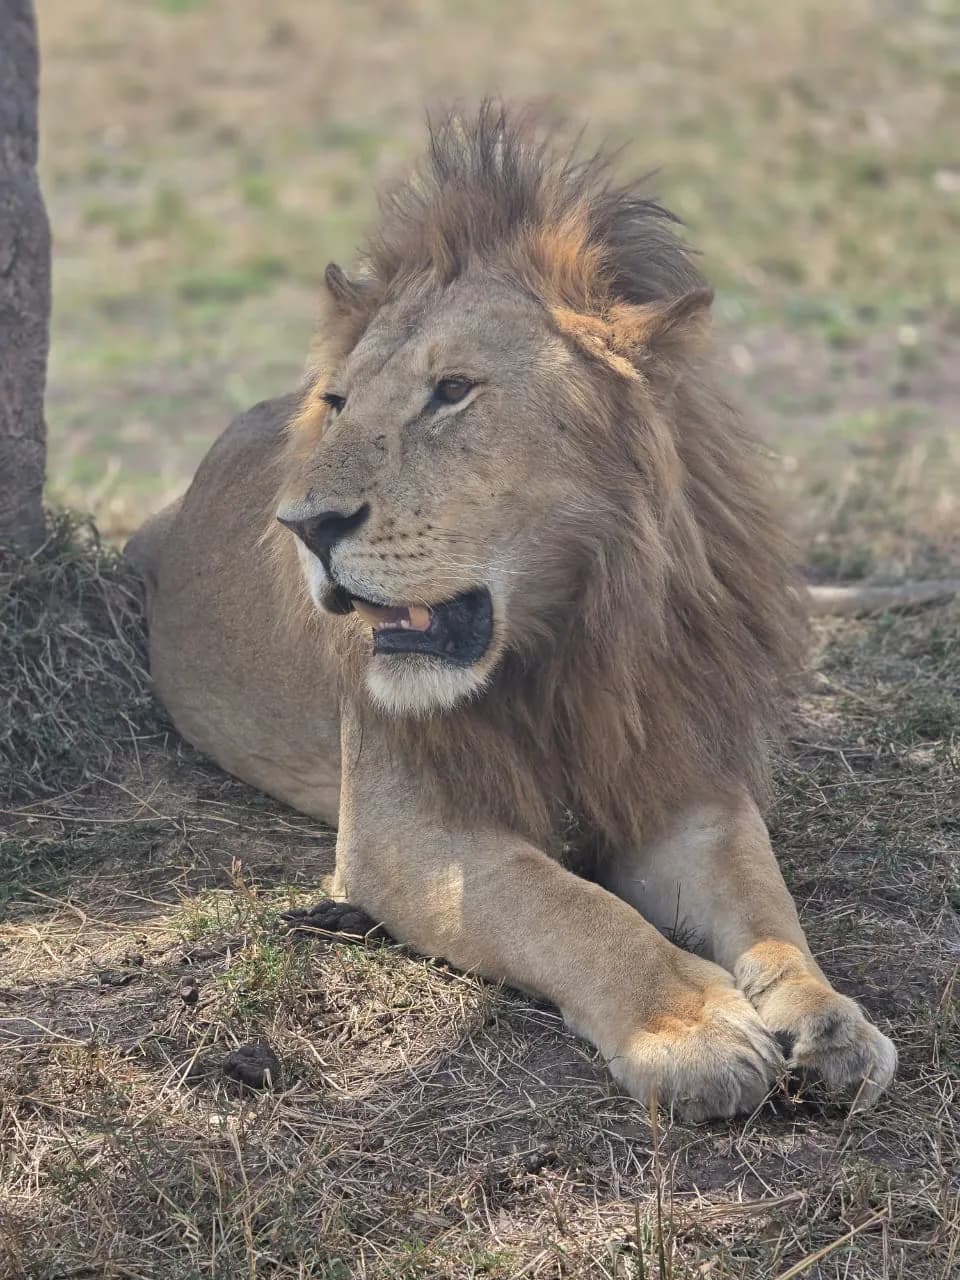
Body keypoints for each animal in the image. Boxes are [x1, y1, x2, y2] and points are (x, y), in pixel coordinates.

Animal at [127, 104, 897, 1121]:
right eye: (336, 403)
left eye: (452, 391)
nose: (303, 525)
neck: (567, 642)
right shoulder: (404, 834)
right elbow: (572, 908)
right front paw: (691, 1028)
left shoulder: (684, 779)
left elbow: (767, 909)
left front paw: (829, 1020)